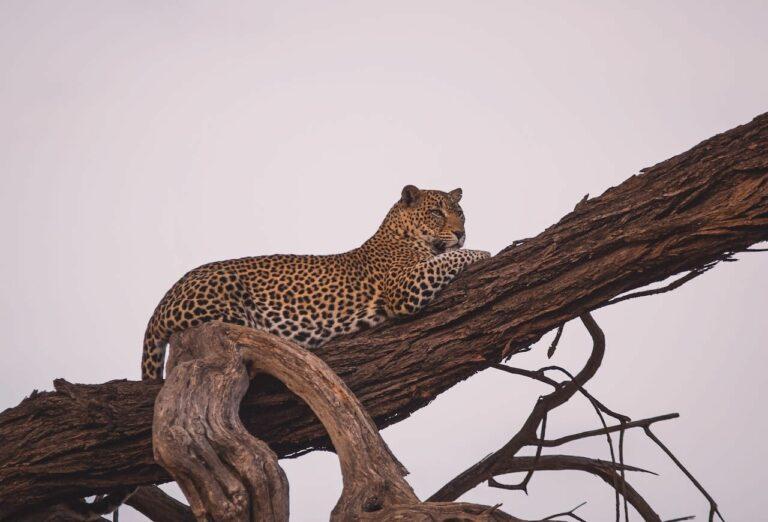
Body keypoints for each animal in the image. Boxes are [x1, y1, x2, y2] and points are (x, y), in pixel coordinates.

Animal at [141, 184, 490, 381]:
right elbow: (446, 259)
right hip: (225, 296)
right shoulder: (404, 285)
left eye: (461, 213)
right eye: (436, 213)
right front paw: (483, 252)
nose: (461, 233)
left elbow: (445, 257)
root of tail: (162, 302)